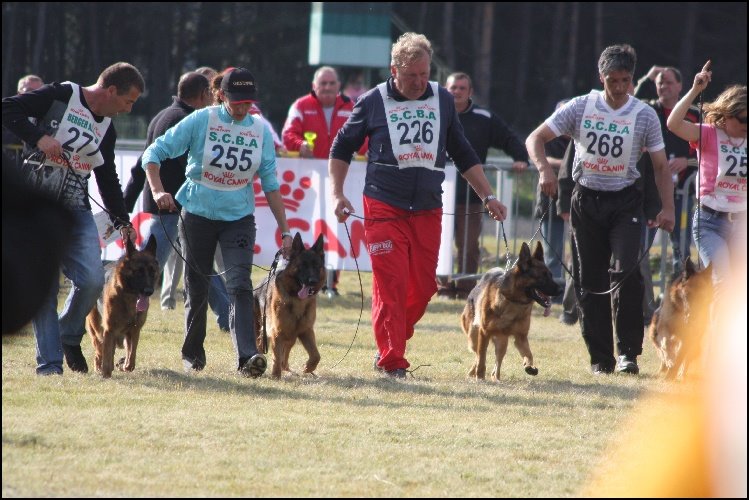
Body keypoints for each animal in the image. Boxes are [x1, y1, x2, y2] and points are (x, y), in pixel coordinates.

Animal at [85, 234, 158, 378]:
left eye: (152, 271)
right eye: (138, 271)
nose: (149, 291)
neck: (129, 298)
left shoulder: (134, 330)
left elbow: (131, 357)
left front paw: (124, 365)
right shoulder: (109, 330)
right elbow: (107, 358)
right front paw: (106, 373)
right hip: (97, 331)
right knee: (99, 352)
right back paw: (99, 368)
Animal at [254, 232, 324, 376]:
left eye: (316, 266)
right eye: (303, 265)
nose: (313, 281)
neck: (297, 300)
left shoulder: (306, 330)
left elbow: (316, 355)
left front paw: (309, 368)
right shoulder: (277, 332)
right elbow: (276, 357)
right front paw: (275, 376)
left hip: (291, 336)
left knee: (285, 354)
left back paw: (287, 369)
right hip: (262, 330)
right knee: (261, 347)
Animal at [462, 241, 560, 378]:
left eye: (551, 275)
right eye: (542, 277)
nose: (561, 290)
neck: (514, 301)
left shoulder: (521, 338)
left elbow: (529, 354)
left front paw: (530, 367)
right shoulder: (484, 333)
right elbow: (481, 358)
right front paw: (480, 377)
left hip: (502, 342)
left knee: (497, 364)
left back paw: (495, 378)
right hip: (474, 337)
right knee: (477, 354)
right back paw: (474, 372)